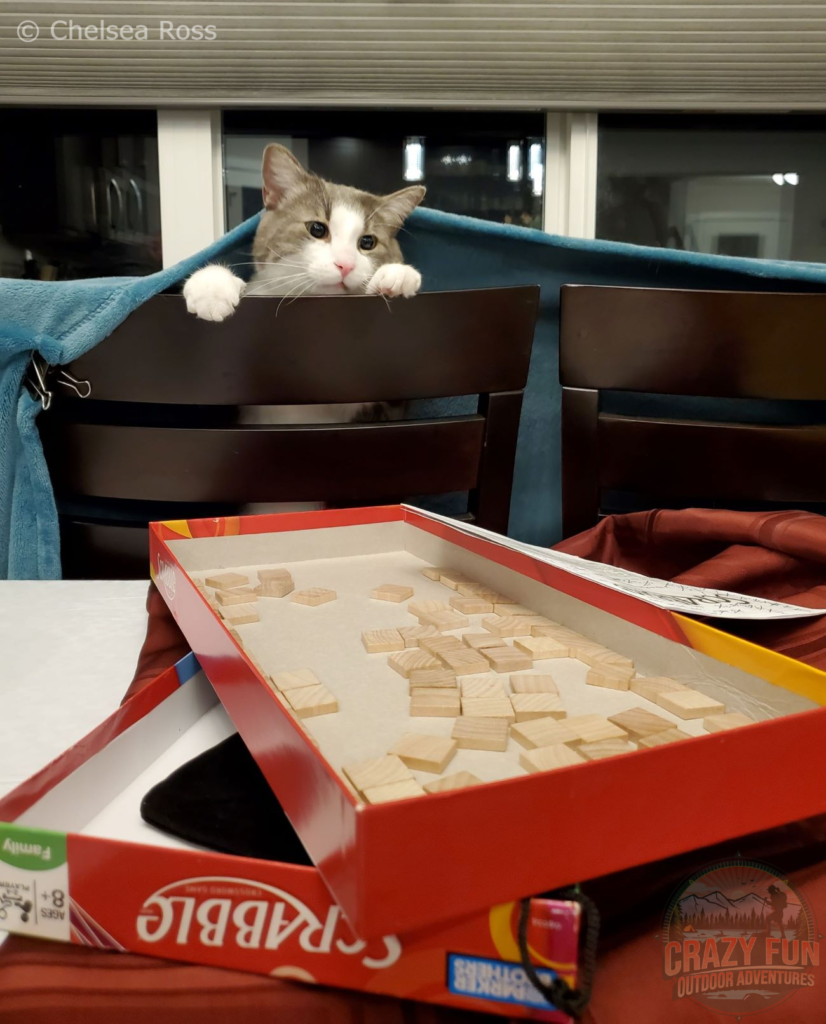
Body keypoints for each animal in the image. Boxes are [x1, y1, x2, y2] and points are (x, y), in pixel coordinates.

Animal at [182, 142, 425, 425]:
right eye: (317, 229)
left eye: (368, 242)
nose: (345, 265)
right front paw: (212, 289)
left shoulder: (387, 405)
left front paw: (398, 276)